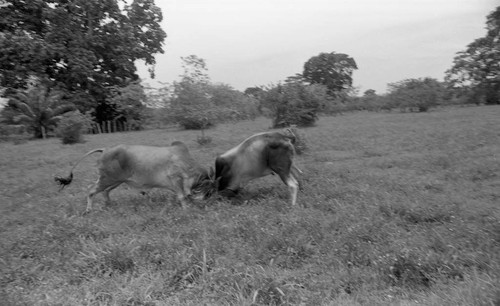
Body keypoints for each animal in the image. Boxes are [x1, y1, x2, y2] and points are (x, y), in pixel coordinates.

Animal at [55, 142, 216, 212]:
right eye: (208, 190)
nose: (207, 202)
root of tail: (105, 149)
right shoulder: (176, 180)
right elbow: (182, 196)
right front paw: (186, 208)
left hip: (117, 181)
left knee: (105, 192)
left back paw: (109, 204)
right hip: (107, 179)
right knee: (91, 189)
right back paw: (89, 210)